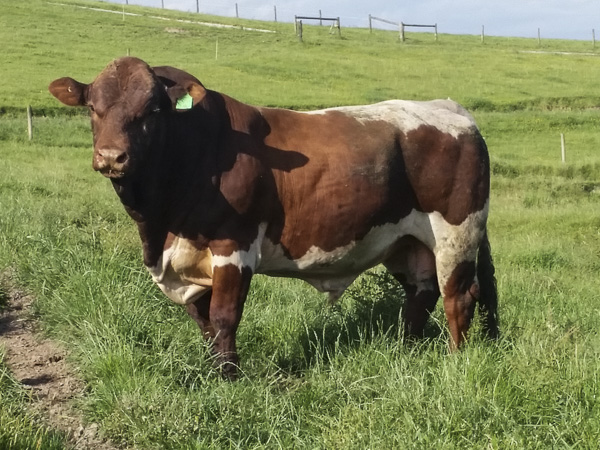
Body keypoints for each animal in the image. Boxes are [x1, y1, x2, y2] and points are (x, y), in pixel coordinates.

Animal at [49, 57, 500, 380]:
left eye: (152, 110)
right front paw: (215, 371)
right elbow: (203, 322)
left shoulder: (234, 245)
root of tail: (452, 108)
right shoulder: (185, 260)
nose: (112, 157)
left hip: (456, 232)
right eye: (93, 108)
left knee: (459, 296)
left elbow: (224, 316)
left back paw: (455, 362)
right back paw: (406, 350)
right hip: (406, 242)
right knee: (421, 294)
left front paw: (229, 380)